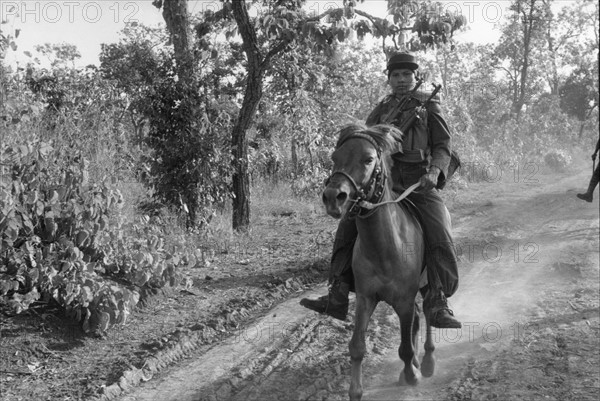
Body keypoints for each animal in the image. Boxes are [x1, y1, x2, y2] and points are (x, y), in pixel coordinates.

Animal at [322, 123, 434, 398]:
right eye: (335, 157)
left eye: (368, 159)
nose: (333, 197)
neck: (385, 248)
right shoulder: (366, 298)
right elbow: (357, 347)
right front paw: (355, 391)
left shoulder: (404, 300)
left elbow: (404, 346)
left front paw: (411, 375)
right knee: (419, 316)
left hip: (426, 285)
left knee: (429, 310)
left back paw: (426, 361)